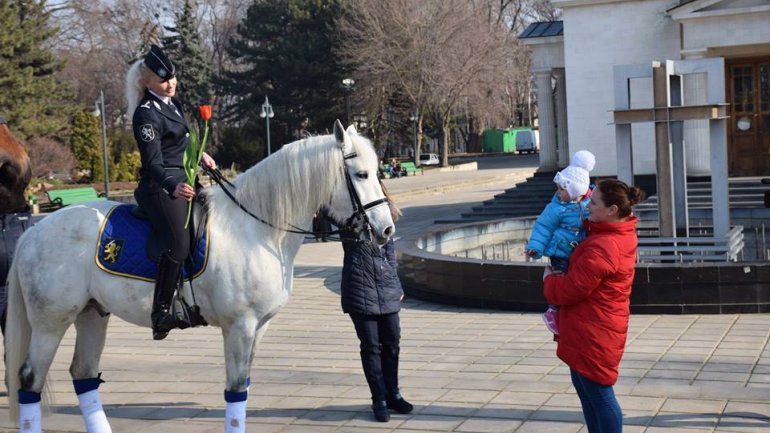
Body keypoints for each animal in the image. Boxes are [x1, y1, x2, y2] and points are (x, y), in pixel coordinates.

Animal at [3, 121, 392, 432]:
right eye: (361, 174)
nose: (386, 230)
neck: (257, 229)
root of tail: (32, 232)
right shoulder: (239, 326)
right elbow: (235, 393)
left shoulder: (258, 328)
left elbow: (244, 387)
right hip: (50, 323)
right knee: (29, 381)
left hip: (92, 315)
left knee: (84, 375)